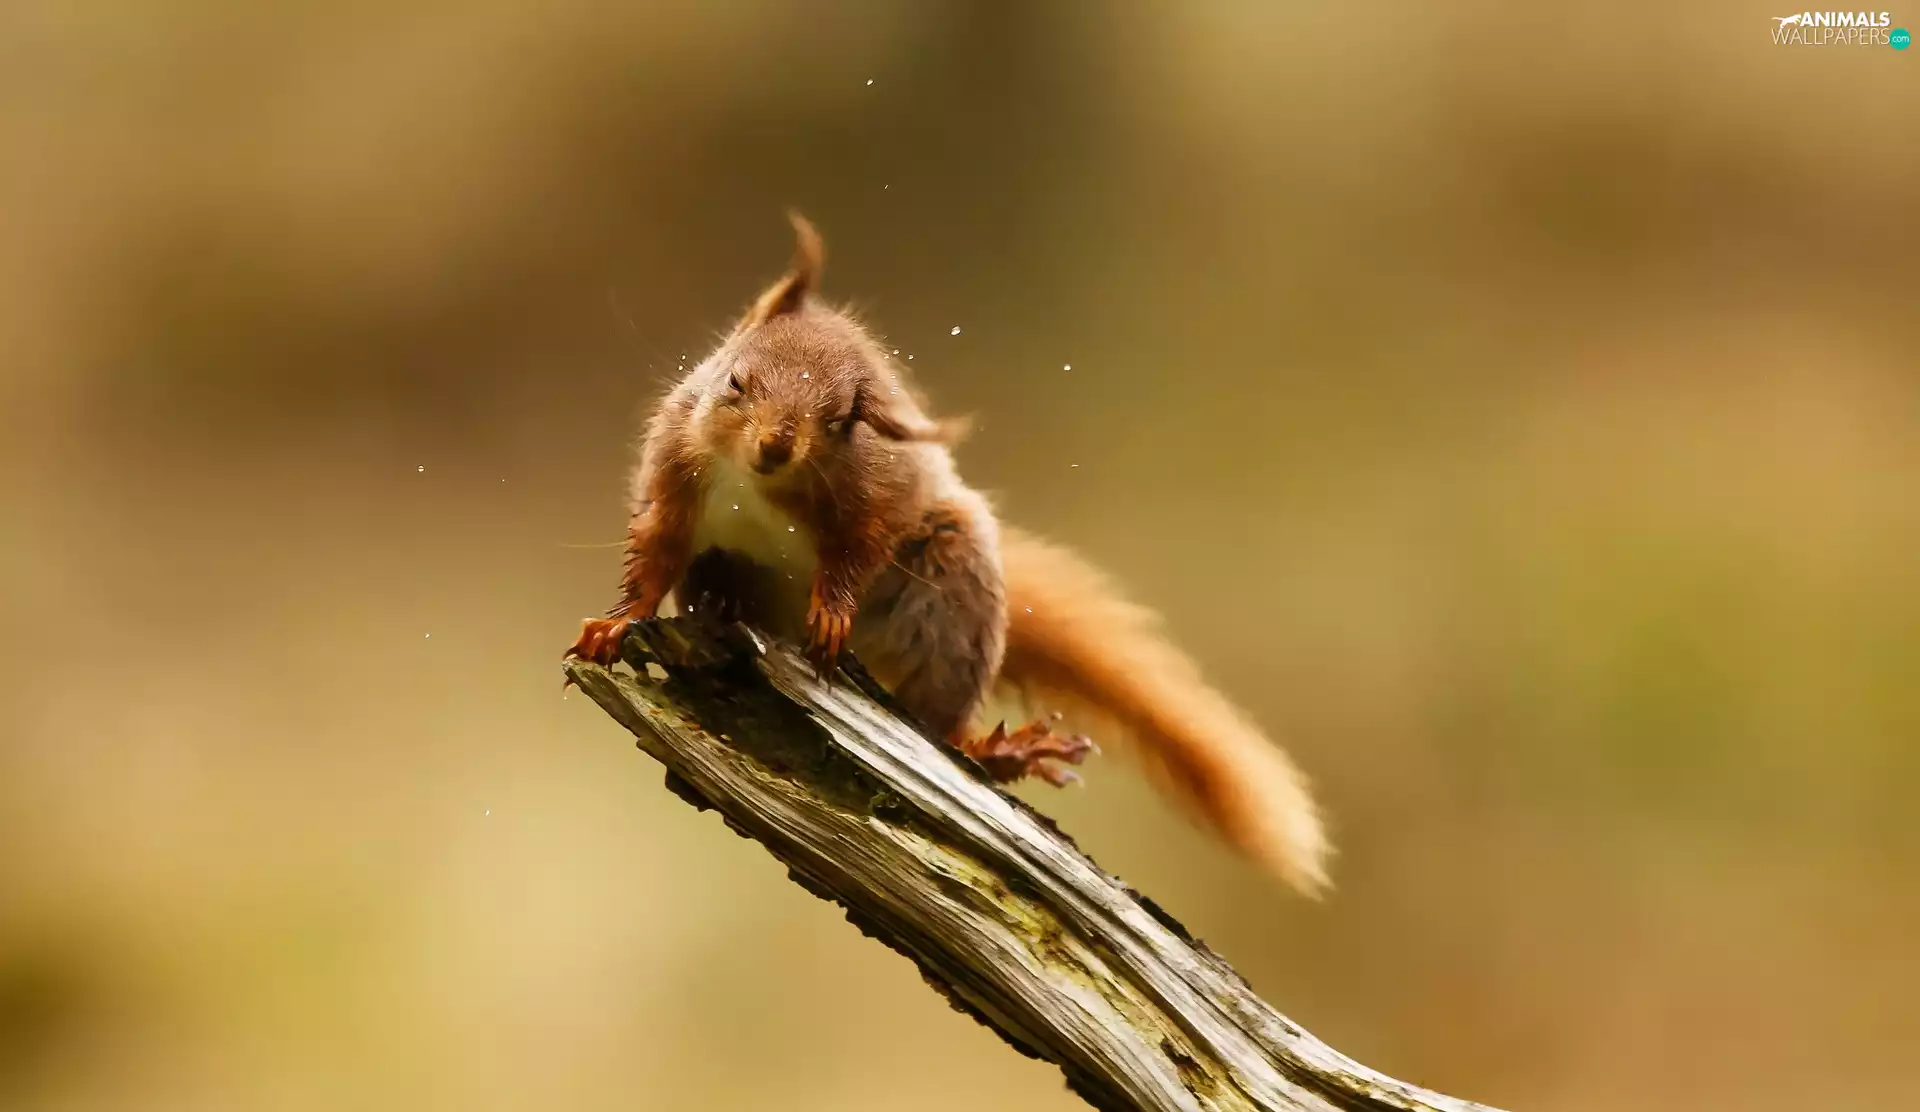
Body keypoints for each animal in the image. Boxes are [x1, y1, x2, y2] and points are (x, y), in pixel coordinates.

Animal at [564, 214, 1330, 895]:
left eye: (839, 419)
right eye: (734, 382)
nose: (775, 446)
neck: (757, 481)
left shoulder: (878, 496)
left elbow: (860, 547)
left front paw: (831, 611)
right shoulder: (674, 476)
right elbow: (655, 554)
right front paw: (614, 623)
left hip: (952, 593)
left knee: (941, 722)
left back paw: (997, 748)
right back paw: (725, 602)